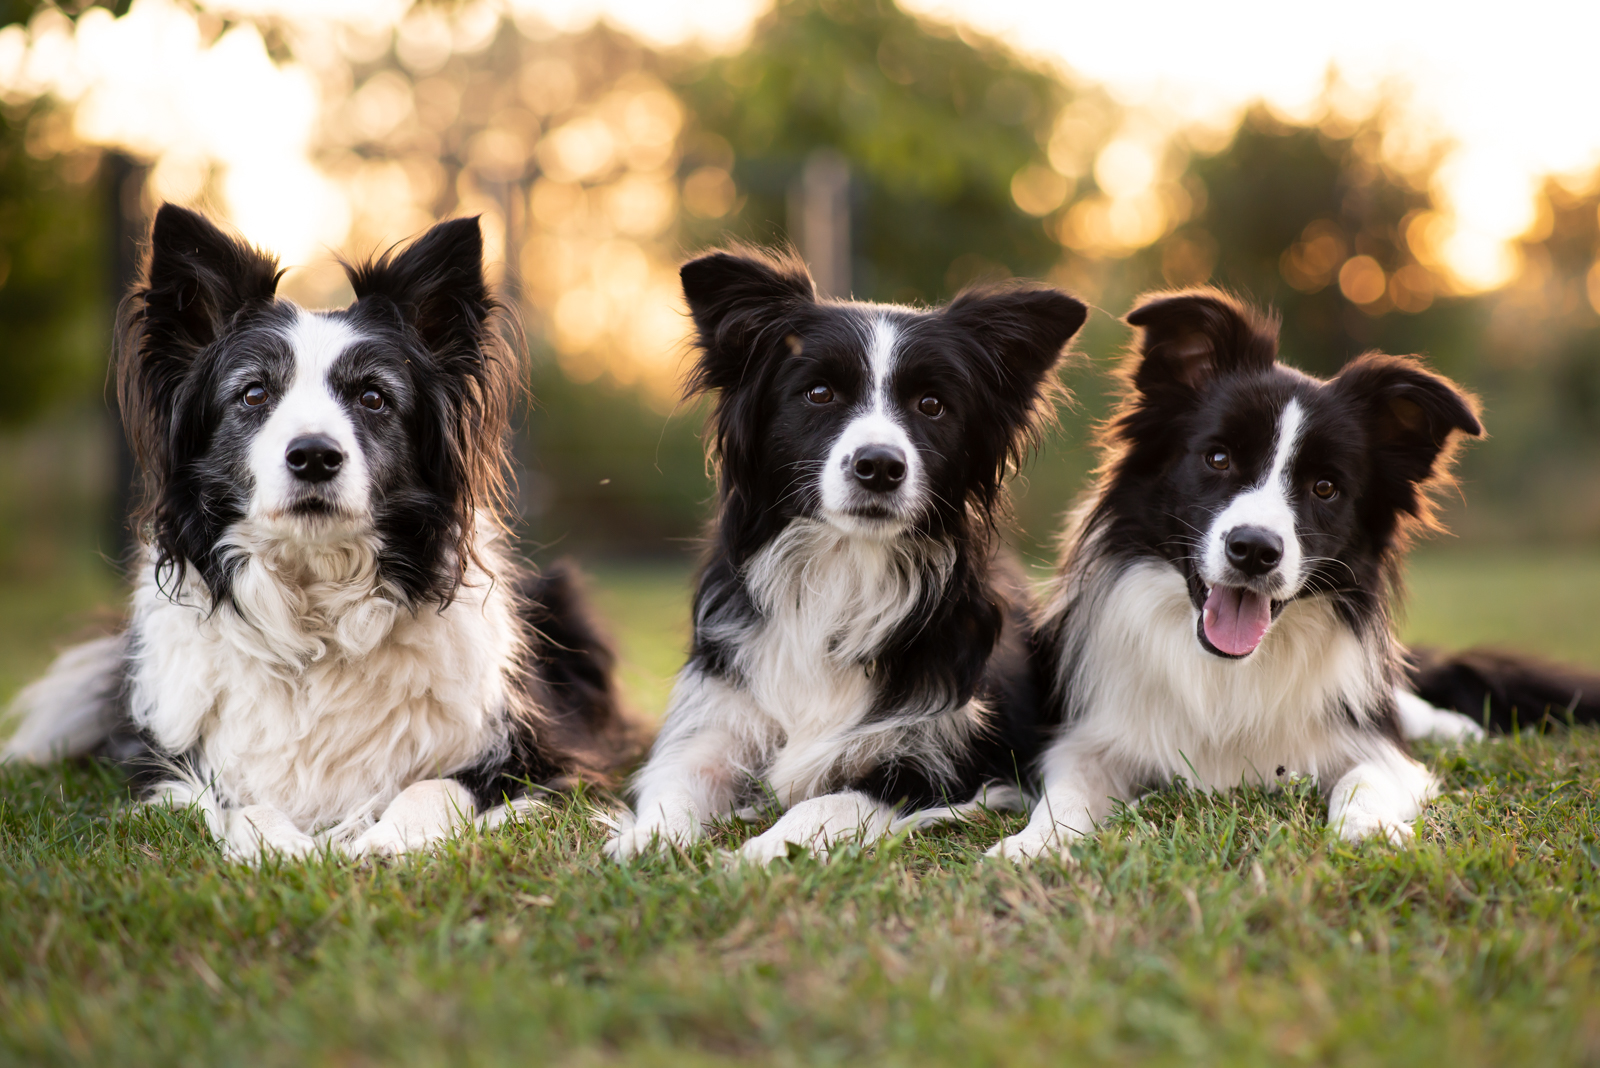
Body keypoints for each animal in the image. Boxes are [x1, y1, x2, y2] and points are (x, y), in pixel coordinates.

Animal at [601, 247, 1088, 856]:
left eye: (932, 404)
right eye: (819, 393)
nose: (879, 465)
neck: (846, 566)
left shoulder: (948, 759)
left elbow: (829, 800)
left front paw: (757, 853)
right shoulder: (717, 716)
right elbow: (674, 782)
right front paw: (646, 842)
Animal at [992, 289, 1593, 856]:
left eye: (1325, 487)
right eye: (1218, 458)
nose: (1254, 550)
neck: (1230, 672)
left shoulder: (1377, 752)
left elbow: (1366, 779)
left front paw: (1370, 831)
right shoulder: (1088, 738)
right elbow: (1066, 791)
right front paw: (1033, 844)